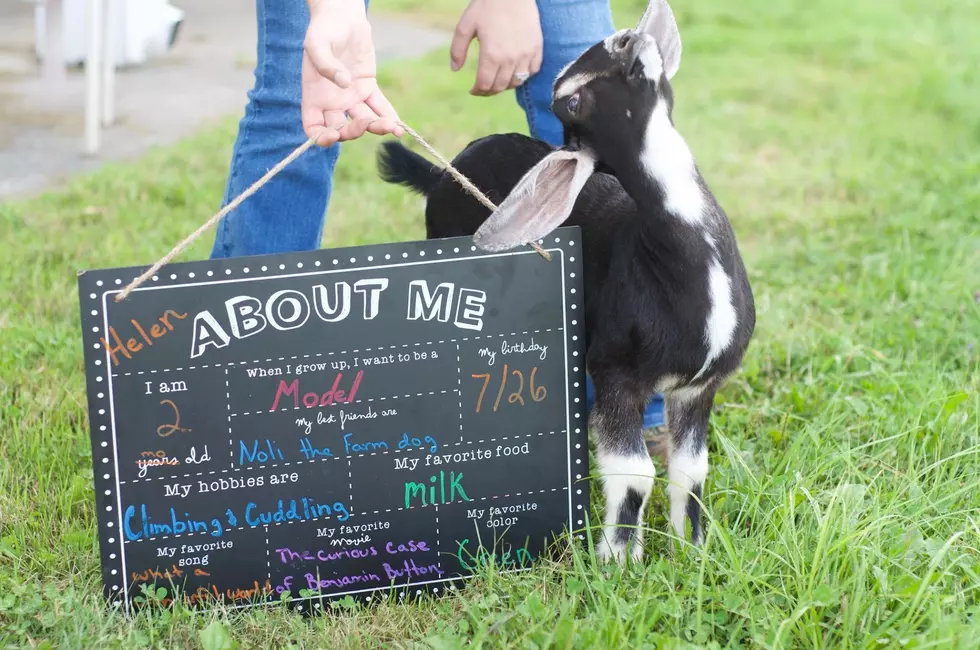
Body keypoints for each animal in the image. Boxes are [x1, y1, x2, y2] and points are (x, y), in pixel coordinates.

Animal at [374, 0, 752, 560]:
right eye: (571, 101)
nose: (625, 39)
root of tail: (446, 171)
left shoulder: (699, 387)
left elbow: (691, 470)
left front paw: (694, 551)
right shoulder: (617, 370)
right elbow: (635, 473)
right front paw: (618, 560)